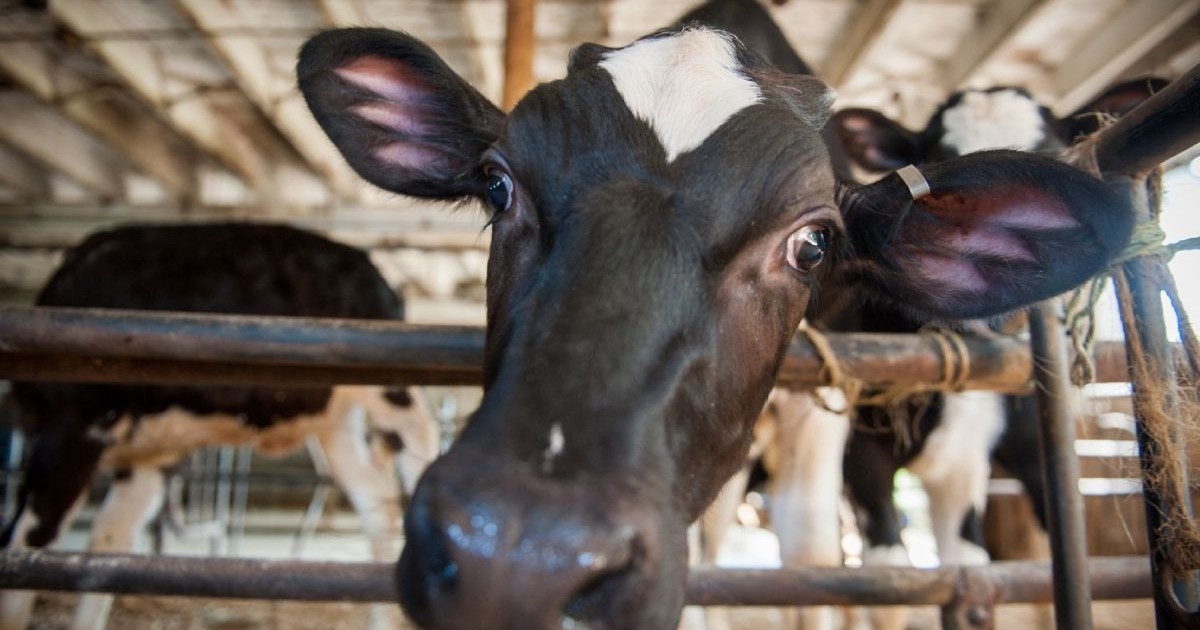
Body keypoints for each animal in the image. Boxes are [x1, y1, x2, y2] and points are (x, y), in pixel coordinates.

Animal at [0, 223, 440, 630]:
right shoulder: (147, 457)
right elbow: (104, 552)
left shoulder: (70, 426)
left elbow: (28, 543)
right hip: (336, 421)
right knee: (377, 502)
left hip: (391, 388)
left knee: (423, 447)